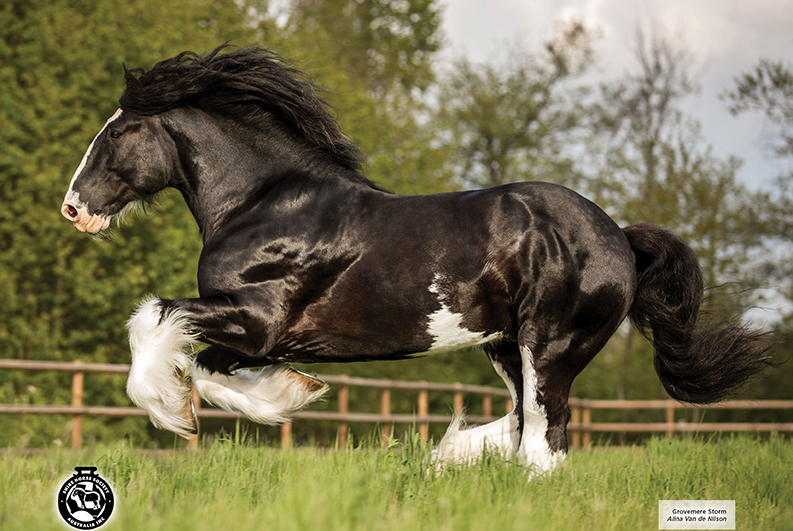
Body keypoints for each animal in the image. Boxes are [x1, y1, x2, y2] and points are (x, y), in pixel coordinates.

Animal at [63, 46, 772, 474]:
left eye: (121, 130)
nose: (73, 207)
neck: (264, 204)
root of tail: (618, 237)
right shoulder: (254, 334)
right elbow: (209, 371)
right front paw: (292, 393)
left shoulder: (257, 319)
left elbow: (154, 322)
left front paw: (171, 412)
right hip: (506, 345)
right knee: (524, 424)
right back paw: (448, 454)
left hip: (551, 345)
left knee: (544, 442)